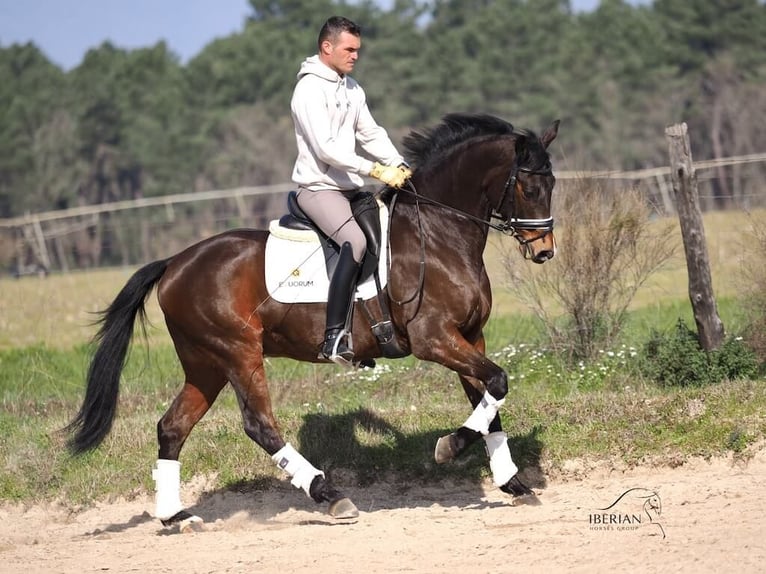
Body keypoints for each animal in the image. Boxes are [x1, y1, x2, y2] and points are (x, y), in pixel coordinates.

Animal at [66, 112, 559, 529]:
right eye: (528, 187)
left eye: (552, 183)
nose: (544, 251)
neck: (438, 232)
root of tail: (174, 263)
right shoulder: (434, 338)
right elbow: (497, 383)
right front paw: (448, 447)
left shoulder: (471, 337)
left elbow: (489, 400)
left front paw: (512, 482)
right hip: (238, 352)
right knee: (260, 426)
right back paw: (330, 494)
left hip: (205, 364)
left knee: (171, 428)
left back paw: (175, 517)